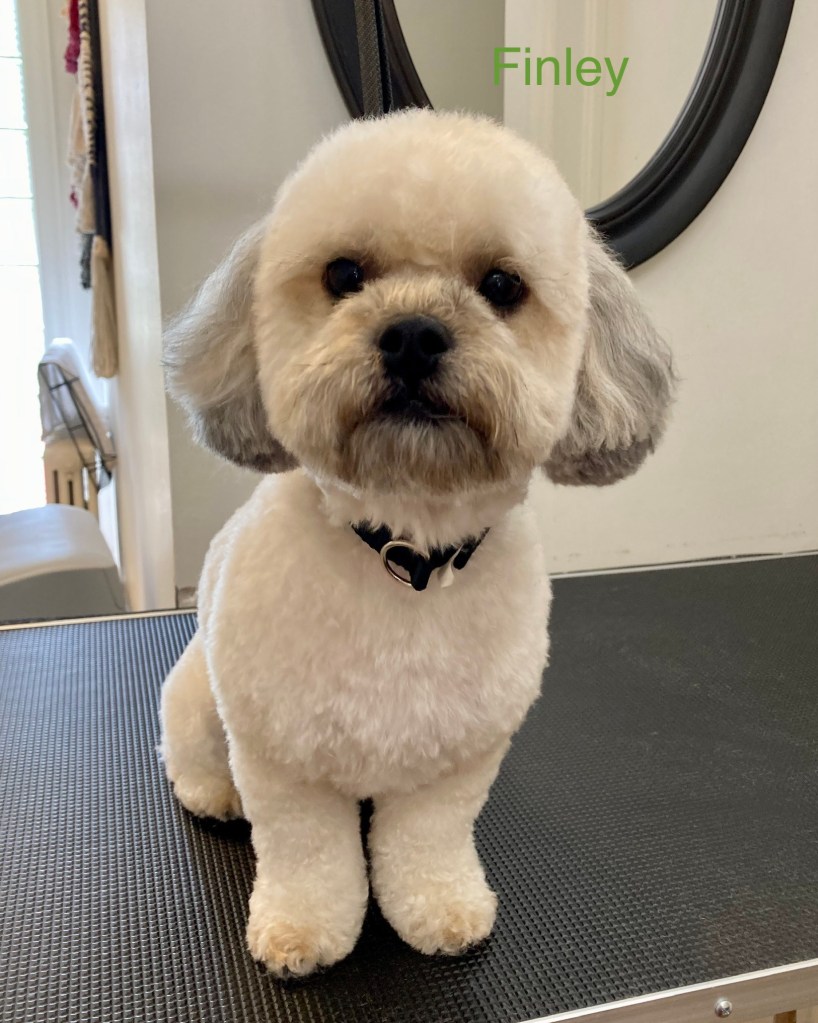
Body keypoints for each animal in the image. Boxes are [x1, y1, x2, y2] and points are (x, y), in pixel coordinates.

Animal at [160, 109, 675, 978]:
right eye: (343, 274)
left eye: (501, 285)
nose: (411, 334)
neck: (404, 554)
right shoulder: (284, 759)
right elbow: (307, 853)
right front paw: (302, 929)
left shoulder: (456, 757)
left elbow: (427, 841)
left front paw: (439, 908)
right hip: (201, 697)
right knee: (191, 752)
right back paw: (212, 792)